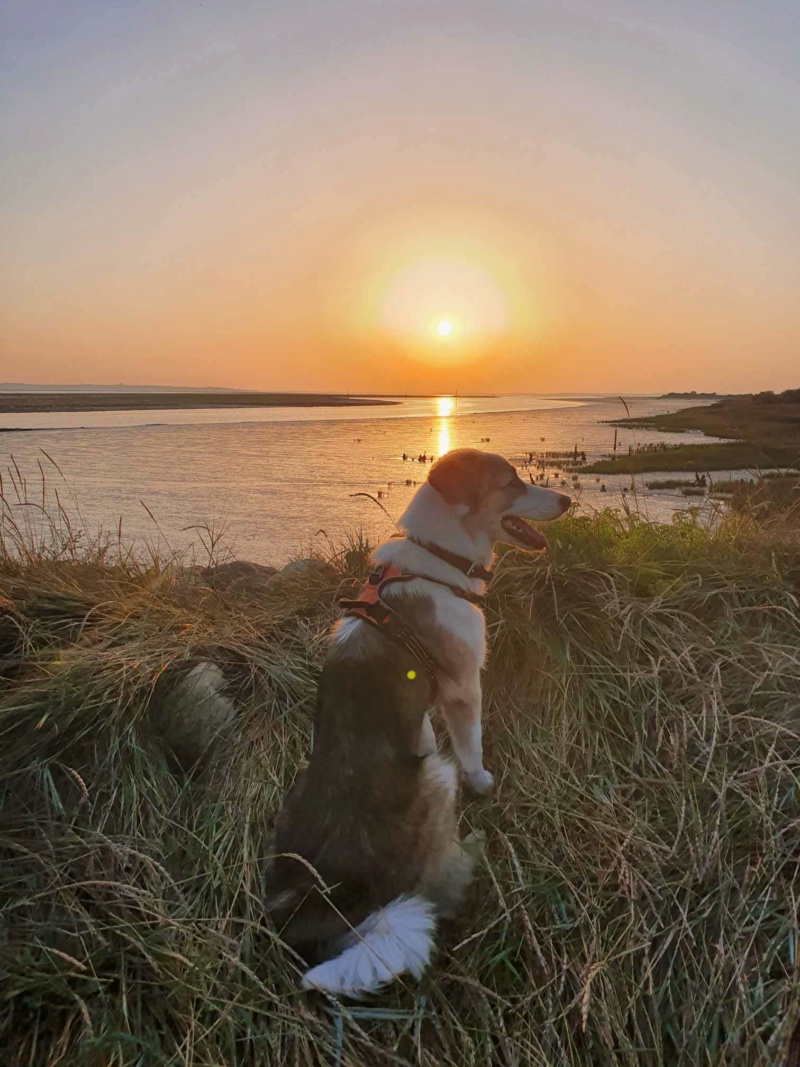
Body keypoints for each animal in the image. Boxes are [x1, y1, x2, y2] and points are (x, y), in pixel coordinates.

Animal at [266, 448, 571, 990]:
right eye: (511, 481)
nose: (568, 501)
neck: (438, 562)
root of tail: (343, 907)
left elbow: (425, 730)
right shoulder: (464, 689)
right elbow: (472, 747)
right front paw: (483, 783)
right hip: (436, 778)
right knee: (442, 886)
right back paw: (473, 844)